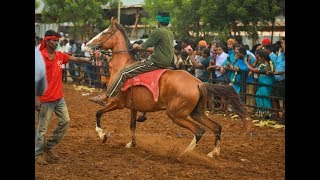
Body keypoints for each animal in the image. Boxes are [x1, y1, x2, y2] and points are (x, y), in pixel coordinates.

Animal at [86, 17, 251, 158]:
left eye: (105, 32)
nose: (88, 44)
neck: (123, 66)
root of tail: (199, 83)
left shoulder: (116, 103)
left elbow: (98, 113)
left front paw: (102, 135)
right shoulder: (133, 107)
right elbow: (132, 126)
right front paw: (131, 144)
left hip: (176, 114)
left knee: (199, 131)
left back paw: (184, 154)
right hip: (196, 113)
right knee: (216, 127)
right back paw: (213, 153)